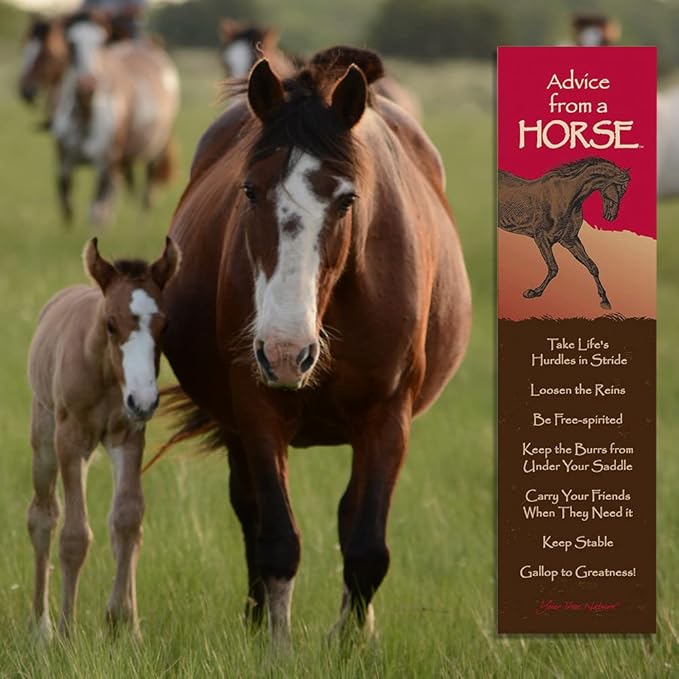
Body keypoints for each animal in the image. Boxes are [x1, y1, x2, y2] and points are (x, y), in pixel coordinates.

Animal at [27, 237, 180, 640]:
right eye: (111, 324)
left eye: (165, 324)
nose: (144, 400)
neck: (105, 373)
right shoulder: (69, 442)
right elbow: (74, 535)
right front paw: (66, 632)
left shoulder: (129, 437)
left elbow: (126, 520)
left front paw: (124, 623)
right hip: (44, 437)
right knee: (42, 517)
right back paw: (41, 626)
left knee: (118, 524)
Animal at [50, 12, 179, 224]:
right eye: (70, 43)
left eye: (101, 43)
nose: (87, 84)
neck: (86, 116)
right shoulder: (64, 164)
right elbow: (67, 207)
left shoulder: (106, 164)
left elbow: (96, 212)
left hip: (155, 151)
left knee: (147, 193)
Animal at [156, 46, 471, 647]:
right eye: (249, 190)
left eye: (346, 200)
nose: (286, 351)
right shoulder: (256, 410)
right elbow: (278, 539)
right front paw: (274, 647)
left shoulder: (388, 416)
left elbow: (367, 548)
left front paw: (350, 646)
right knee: (250, 511)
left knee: (351, 521)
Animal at [498, 157, 630, 309]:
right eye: (619, 188)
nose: (611, 216)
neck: (568, 197)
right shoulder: (541, 238)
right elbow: (553, 268)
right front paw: (534, 292)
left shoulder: (569, 240)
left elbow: (592, 266)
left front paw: (604, 300)